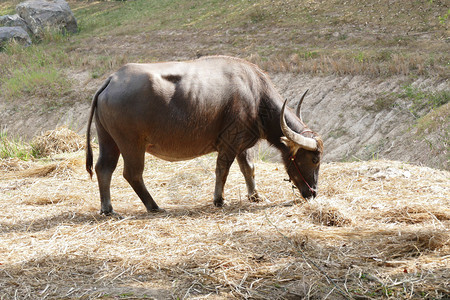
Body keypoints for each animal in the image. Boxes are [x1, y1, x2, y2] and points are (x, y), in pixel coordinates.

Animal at [85, 55, 324, 216]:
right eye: (314, 159)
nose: (312, 192)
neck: (256, 96)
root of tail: (112, 79)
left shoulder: (242, 143)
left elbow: (248, 168)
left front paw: (255, 195)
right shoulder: (230, 142)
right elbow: (223, 169)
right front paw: (219, 199)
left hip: (108, 139)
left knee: (104, 168)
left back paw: (108, 208)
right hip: (131, 144)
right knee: (132, 174)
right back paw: (153, 206)